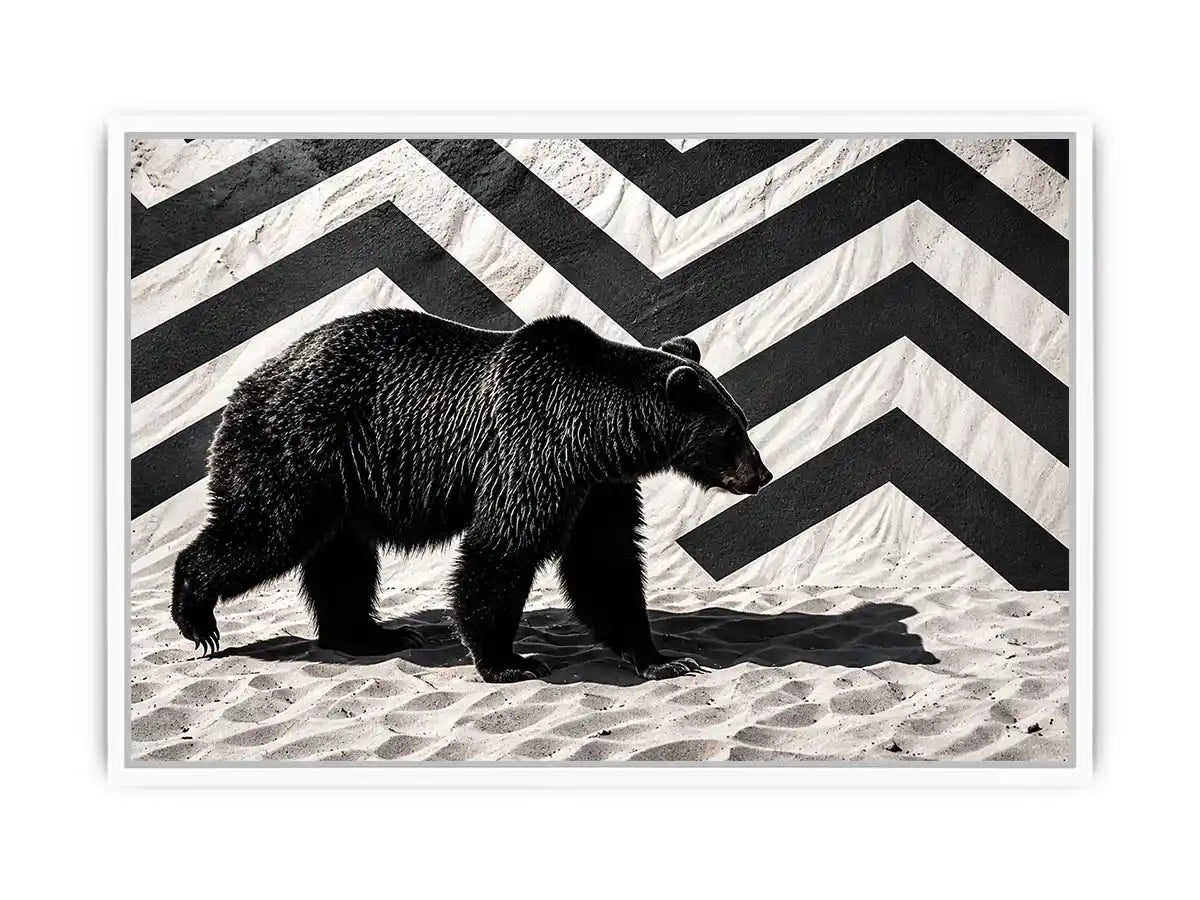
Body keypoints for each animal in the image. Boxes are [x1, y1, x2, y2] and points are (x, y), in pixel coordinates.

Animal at [171, 310, 773, 683]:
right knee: (266, 532)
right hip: (299, 448)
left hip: (344, 485)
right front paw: (509, 660)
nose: (761, 475)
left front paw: (663, 658)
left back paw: (374, 635)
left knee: (342, 561)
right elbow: (504, 547)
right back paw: (197, 617)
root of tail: (247, 383)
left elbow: (606, 563)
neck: (600, 431)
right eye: (733, 431)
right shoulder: (534, 447)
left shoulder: (599, 486)